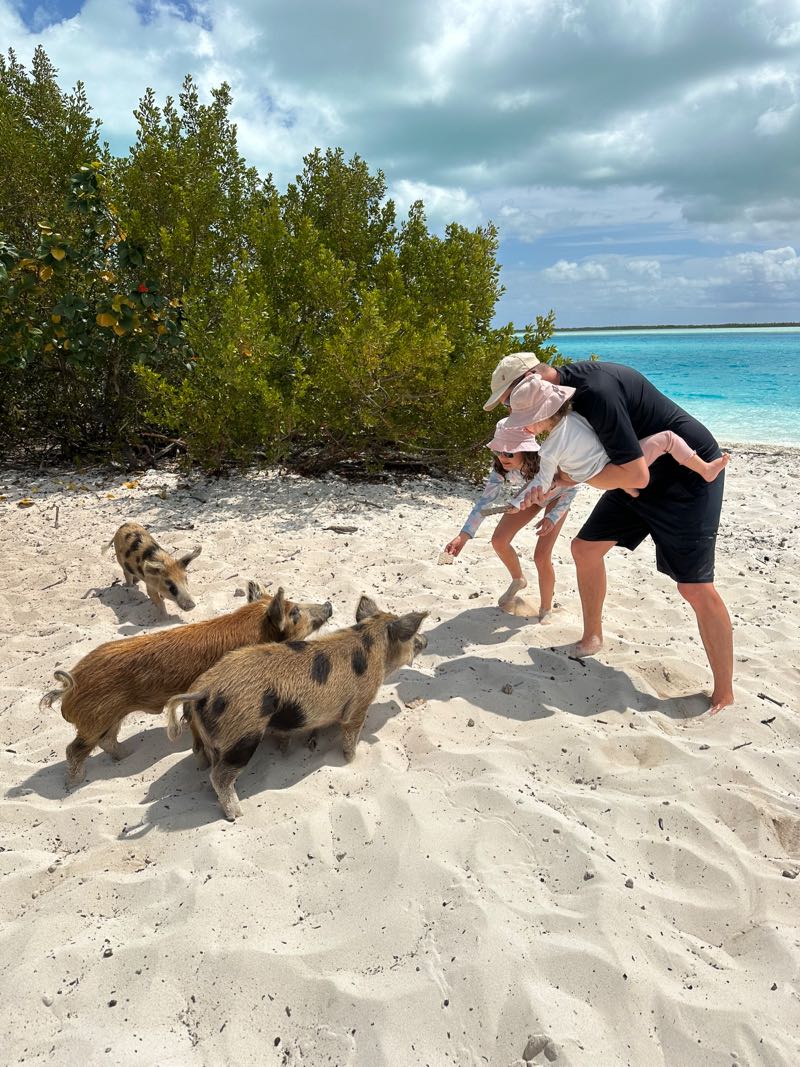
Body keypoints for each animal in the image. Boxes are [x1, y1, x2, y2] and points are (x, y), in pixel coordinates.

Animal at [39, 581, 333, 786]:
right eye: (295, 612)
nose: (329, 604)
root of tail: (69, 688)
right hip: (95, 719)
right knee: (74, 750)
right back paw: (73, 784)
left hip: (110, 718)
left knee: (108, 741)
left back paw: (129, 755)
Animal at [164, 595, 428, 820]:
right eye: (413, 636)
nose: (425, 640)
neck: (374, 646)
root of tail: (204, 689)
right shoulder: (359, 704)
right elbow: (351, 734)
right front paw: (353, 760)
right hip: (242, 735)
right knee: (220, 776)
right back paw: (237, 815)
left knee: (206, 762)